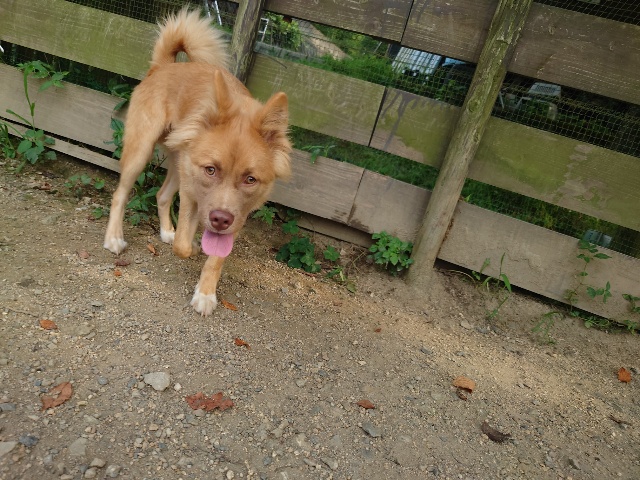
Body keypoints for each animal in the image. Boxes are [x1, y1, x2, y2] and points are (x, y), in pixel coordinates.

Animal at [103, 8, 292, 316]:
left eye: (250, 179)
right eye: (211, 170)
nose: (220, 219)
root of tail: (164, 67)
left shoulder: (239, 216)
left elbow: (216, 257)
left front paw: (205, 292)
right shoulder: (193, 192)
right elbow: (183, 246)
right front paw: (190, 245)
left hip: (179, 163)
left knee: (162, 194)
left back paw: (166, 230)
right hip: (142, 151)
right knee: (120, 194)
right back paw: (114, 238)